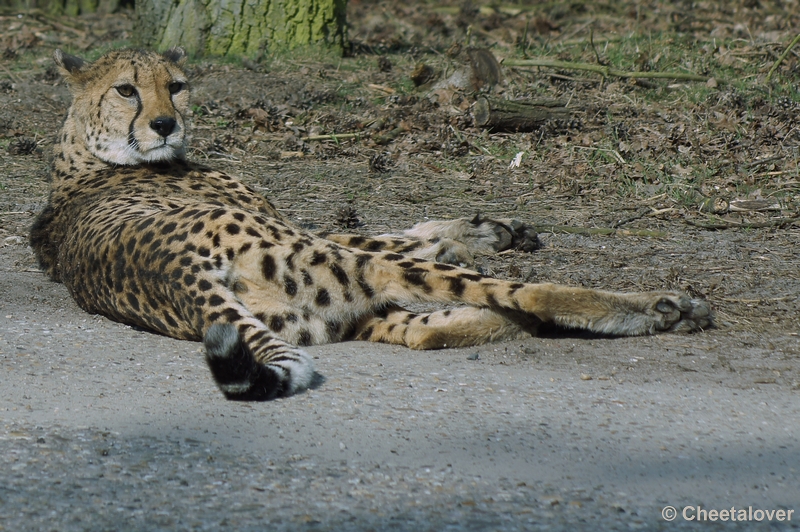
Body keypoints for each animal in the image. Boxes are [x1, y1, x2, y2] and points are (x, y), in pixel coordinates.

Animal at [29, 48, 712, 400]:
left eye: (176, 85)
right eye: (126, 90)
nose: (166, 124)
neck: (86, 152)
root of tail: (173, 270)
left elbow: (408, 227)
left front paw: (489, 230)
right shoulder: (307, 232)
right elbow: (385, 232)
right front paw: (483, 236)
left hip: (331, 309)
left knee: (428, 330)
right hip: (344, 274)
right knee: (524, 294)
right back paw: (661, 306)